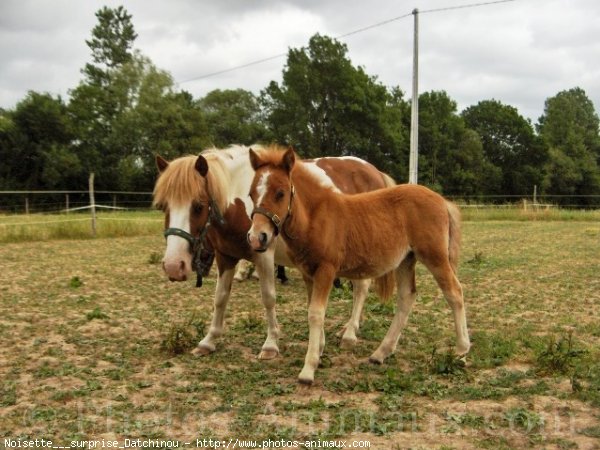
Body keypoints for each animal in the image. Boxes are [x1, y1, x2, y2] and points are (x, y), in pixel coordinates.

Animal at [246, 147, 472, 384]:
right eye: (251, 194)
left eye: (280, 193)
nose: (257, 238)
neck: (317, 218)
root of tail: (443, 201)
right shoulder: (309, 273)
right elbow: (312, 309)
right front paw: (319, 349)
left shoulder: (327, 270)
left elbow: (316, 313)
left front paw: (309, 368)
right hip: (405, 260)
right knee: (407, 297)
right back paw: (381, 352)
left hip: (434, 256)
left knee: (454, 292)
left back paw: (461, 351)